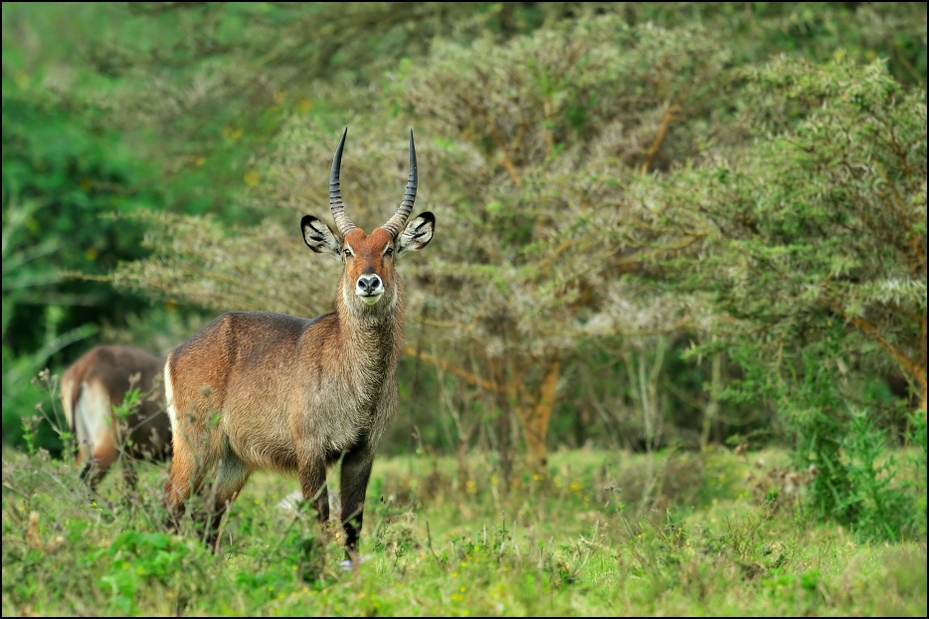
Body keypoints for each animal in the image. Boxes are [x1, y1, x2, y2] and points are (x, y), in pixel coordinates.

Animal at [164, 126, 436, 560]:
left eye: (390, 249)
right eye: (347, 251)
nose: (368, 282)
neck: (357, 379)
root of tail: (179, 351)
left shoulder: (363, 451)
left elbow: (352, 525)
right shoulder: (310, 450)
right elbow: (320, 521)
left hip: (234, 460)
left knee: (209, 519)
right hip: (196, 446)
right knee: (171, 506)